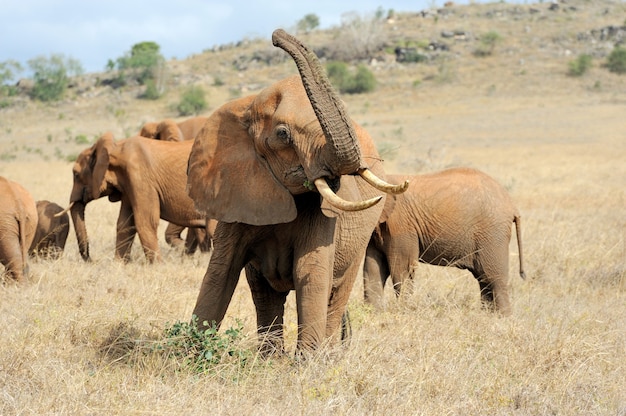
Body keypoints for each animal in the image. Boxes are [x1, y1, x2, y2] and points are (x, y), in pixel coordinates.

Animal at [185, 30, 410, 354]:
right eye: (283, 135)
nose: (276, 36)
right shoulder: (235, 196)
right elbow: (221, 271)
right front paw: (190, 356)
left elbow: (311, 271)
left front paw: (308, 363)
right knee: (263, 292)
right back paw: (270, 358)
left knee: (337, 292)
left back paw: (328, 355)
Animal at [360, 166, 520, 316]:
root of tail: (512, 205)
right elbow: (372, 267)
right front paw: (373, 313)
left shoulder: (401, 225)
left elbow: (402, 268)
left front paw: (403, 311)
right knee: (483, 280)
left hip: (493, 234)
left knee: (494, 279)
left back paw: (503, 318)